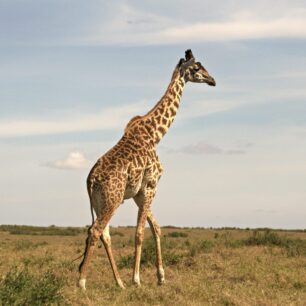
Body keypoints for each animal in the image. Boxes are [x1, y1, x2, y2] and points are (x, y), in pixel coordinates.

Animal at [77, 48, 216, 290]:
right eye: (197, 68)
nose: (212, 80)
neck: (155, 135)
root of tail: (90, 181)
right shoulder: (151, 184)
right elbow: (140, 232)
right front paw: (137, 279)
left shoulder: (139, 192)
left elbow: (156, 228)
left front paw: (160, 276)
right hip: (113, 199)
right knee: (95, 231)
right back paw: (82, 283)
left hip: (100, 202)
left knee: (104, 234)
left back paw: (119, 283)